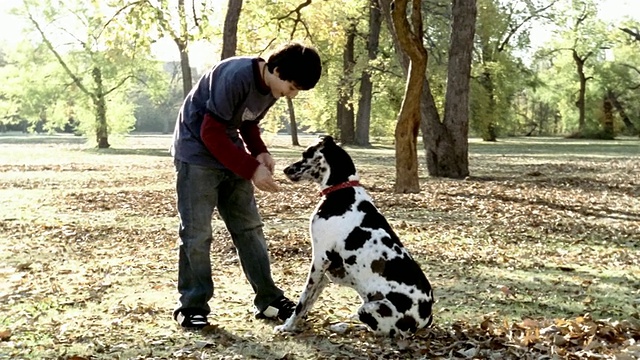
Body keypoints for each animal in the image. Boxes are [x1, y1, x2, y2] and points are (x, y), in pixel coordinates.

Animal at [278, 136, 432, 336]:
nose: (285, 169)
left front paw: (287, 327)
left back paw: (342, 326)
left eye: (306, 154)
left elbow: (302, 302)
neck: (342, 191)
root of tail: (426, 318)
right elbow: (308, 303)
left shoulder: (319, 260)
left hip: (369, 309)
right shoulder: (324, 272)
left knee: (373, 329)